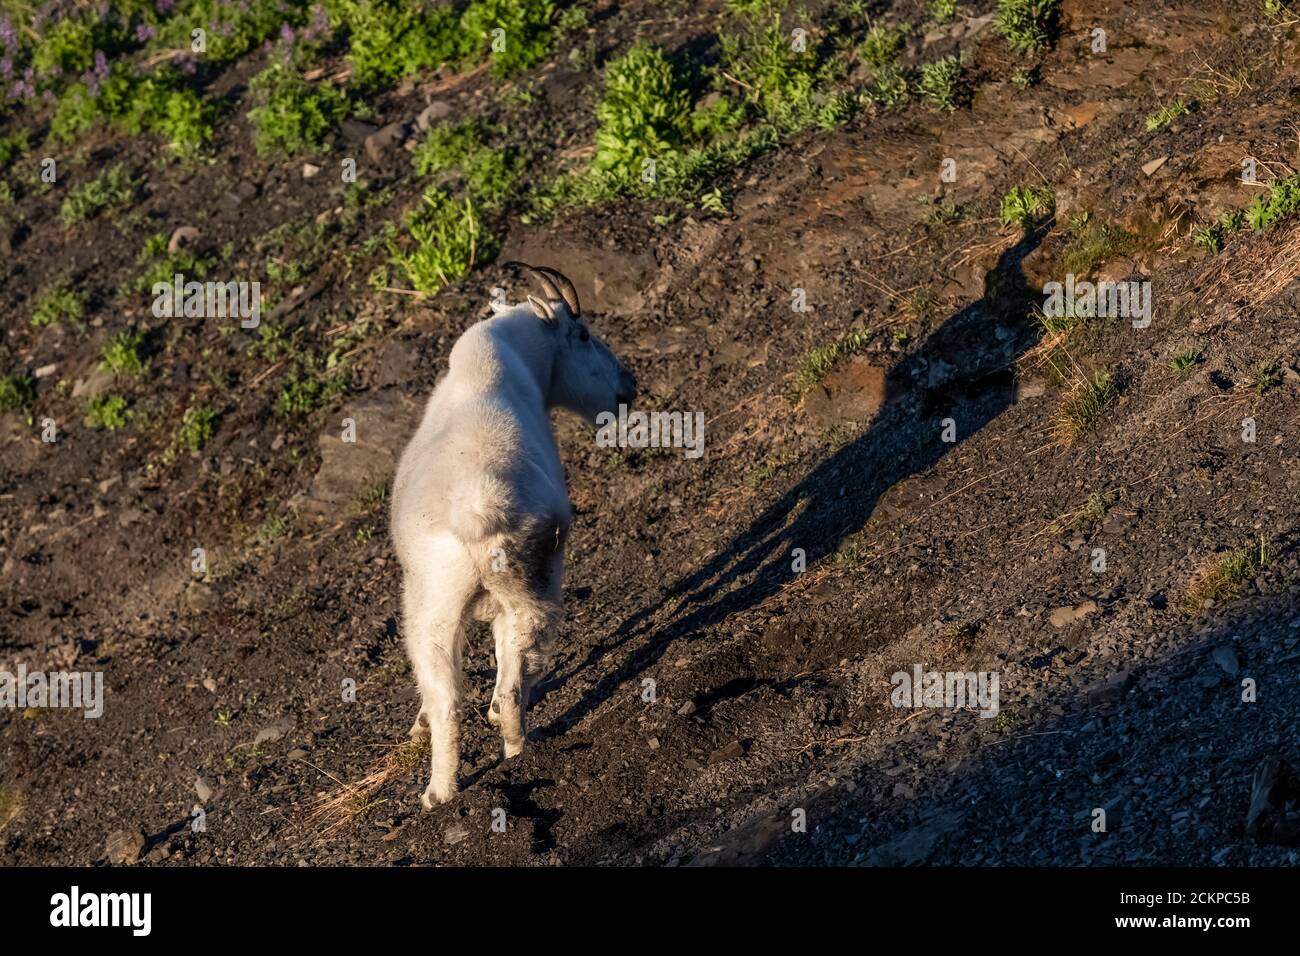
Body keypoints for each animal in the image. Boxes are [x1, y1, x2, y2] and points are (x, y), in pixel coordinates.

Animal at [390, 263, 637, 808]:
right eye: (582, 334)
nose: (628, 387)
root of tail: (479, 509)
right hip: (527, 584)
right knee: (507, 677)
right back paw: (510, 749)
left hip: (437, 601)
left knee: (448, 692)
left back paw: (441, 789)